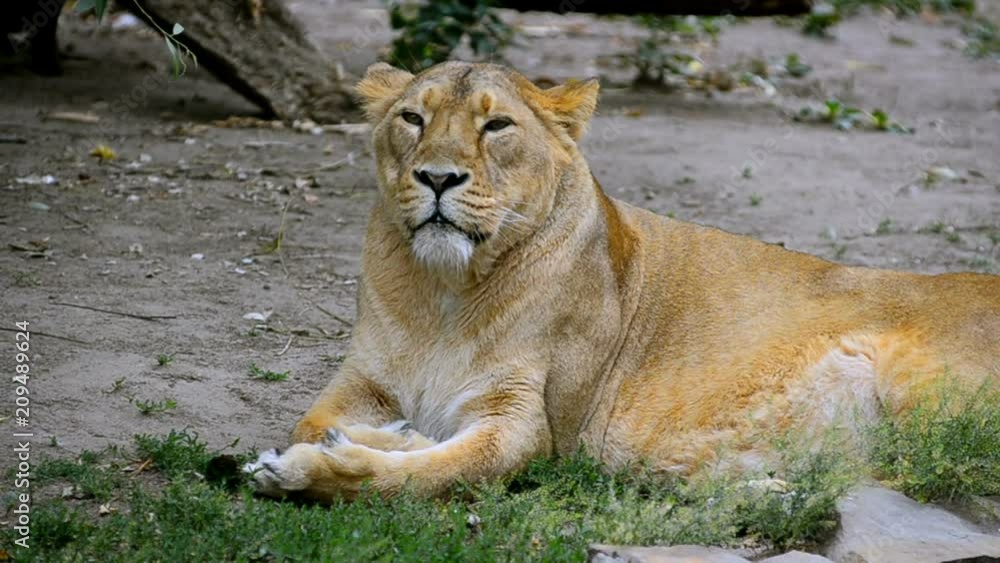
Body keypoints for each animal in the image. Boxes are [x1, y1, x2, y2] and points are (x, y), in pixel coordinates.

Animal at [245, 61, 1000, 501]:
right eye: (413, 117)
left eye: (496, 125)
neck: (445, 293)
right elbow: (314, 420)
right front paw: (358, 440)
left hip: (921, 394)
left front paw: (310, 469)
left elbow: (432, 474)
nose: (437, 177)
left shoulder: (527, 422)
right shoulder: (364, 380)